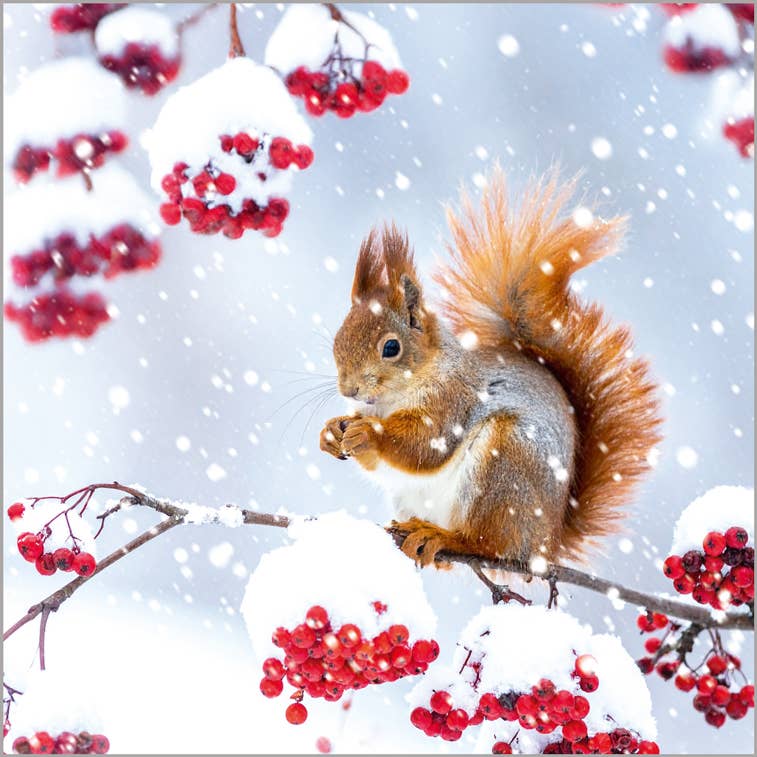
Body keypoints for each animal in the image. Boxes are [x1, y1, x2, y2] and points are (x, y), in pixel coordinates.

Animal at [319, 167, 662, 568]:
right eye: (338, 338)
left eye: (391, 347)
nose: (349, 389)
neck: (391, 399)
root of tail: (544, 546)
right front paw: (331, 431)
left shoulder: (453, 399)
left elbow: (424, 445)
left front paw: (369, 432)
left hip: (503, 467)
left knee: (487, 541)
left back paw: (443, 537)